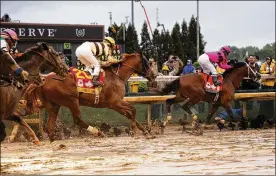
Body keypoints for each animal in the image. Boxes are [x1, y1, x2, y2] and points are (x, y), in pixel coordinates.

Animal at [25, 53, 155, 142]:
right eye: (147, 63)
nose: (153, 75)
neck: (117, 76)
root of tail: (44, 79)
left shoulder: (114, 105)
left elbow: (129, 114)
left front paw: (145, 131)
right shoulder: (115, 102)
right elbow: (133, 110)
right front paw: (133, 130)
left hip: (53, 105)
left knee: (49, 126)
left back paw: (54, 141)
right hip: (72, 100)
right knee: (78, 120)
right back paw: (98, 133)